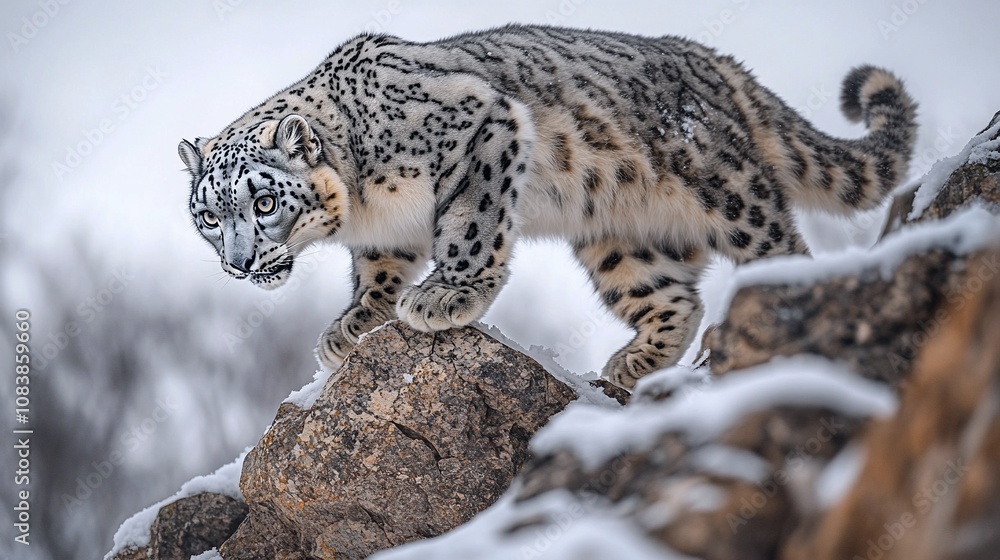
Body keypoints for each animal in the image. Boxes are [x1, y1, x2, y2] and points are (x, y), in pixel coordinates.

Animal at [179, 25, 917, 389]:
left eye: (264, 199)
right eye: (209, 216)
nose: (241, 263)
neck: (365, 204)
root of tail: (718, 64)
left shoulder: (481, 127)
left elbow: (470, 225)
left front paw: (445, 296)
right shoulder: (383, 237)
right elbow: (376, 274)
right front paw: (352, 325)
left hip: (728, 191)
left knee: (778, 248)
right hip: (617, 239)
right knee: (672, 296)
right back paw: (634, 363)